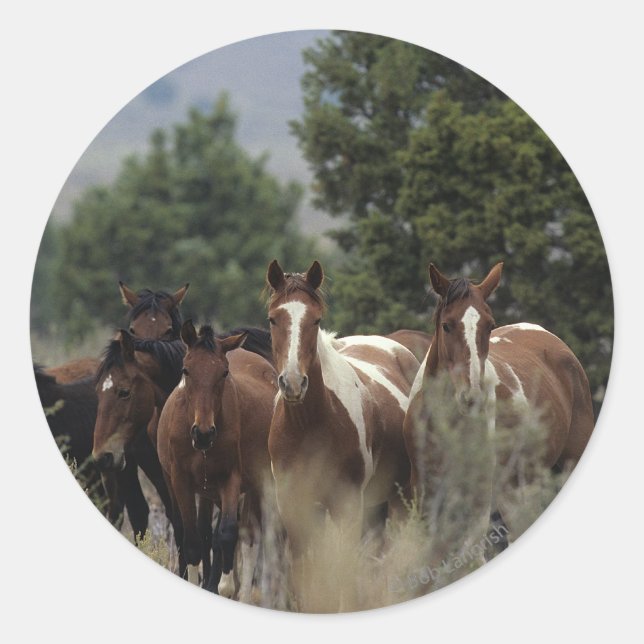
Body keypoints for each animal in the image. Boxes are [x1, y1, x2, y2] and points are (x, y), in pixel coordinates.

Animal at [156, 322, 276, 599]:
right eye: (186, 370)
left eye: (224, 373)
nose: (203, 433)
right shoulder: (181, 481)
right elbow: (192, 541)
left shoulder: (230, 479)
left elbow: (229, 533)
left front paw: (225, 586)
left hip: (257, 484)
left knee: (250, 536)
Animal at [265, 260, 420, 610]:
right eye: (273, 318)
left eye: (316, 319)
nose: (293, 383)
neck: (310, 427)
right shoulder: (295, 508)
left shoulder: (347, 506)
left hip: (400, 500)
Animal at [403, 262, 595, 577]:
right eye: (447, 325)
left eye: (489, 325)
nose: (471, 395)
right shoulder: (424, 490)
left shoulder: (479, 495)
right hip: (516, 489)